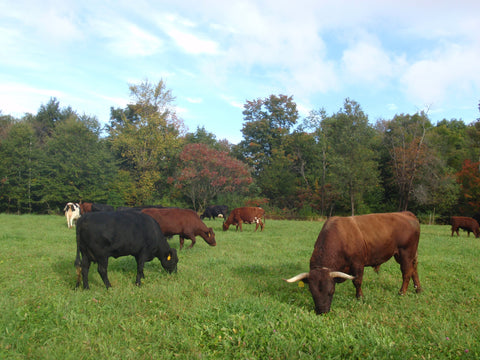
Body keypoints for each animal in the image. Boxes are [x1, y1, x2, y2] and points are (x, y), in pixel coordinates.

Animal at [284, 212, 422, 314]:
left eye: (331, 291)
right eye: (312, 292)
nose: (322, 311)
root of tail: (406, 213)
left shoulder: (358, 263)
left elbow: (357, 281)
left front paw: (359, 297)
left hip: (405, 253)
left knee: (406, 272)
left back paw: (402, 292)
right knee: (414, 269)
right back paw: (418, 289)